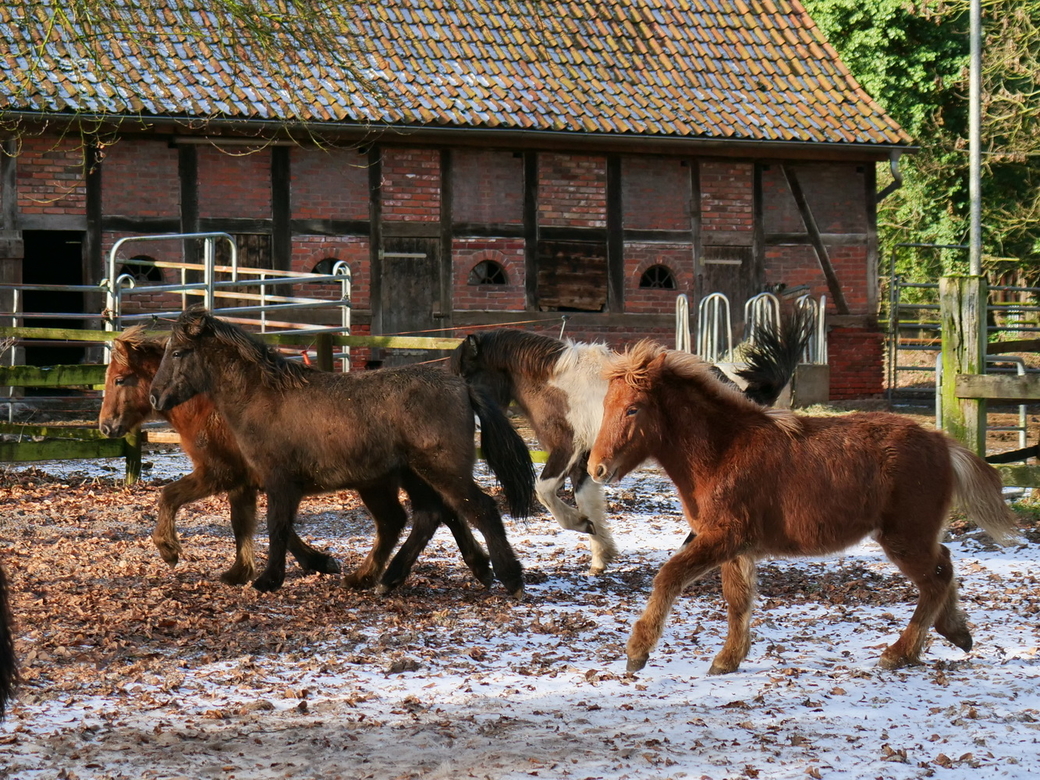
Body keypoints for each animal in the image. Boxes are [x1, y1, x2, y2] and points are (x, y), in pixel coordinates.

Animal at [449, 312, 811, 574]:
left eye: (467, 374)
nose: (465, 415)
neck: (556, 383)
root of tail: (729, 386)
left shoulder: (567, 448)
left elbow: (546, 491)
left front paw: (581, 526)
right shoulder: (587, 460)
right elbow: (588, 500)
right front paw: (601, 555)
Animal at [590, 341, 1019, 678]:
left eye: (633, 409)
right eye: (606, 405)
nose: (596, 468)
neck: (723, 451)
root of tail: (942, 442)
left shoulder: (722, 537)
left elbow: (669, 577)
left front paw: (637, 652)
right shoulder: (737, 547)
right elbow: (737, 598)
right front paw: (728, 660)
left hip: (905, 536)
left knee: (935, 578)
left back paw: (900, 654)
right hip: (914, 535)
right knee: (943, 565)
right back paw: (956, 632)